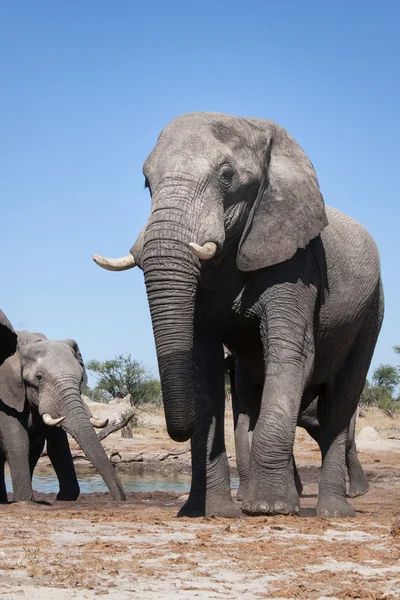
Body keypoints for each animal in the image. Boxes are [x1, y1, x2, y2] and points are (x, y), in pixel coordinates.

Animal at [0, 330, 125, 504]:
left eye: (80, 378)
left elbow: (58, 446)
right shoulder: (6, 397)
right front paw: (24, 501)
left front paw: (64, 497)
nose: (119, 499)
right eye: (39, 377)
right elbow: (18, 443)